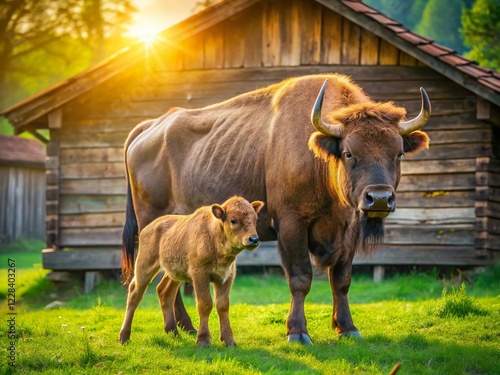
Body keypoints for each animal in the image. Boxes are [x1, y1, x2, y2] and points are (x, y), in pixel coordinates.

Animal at [119, 197, 264, 346]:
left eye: (255, 218)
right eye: (233, 220)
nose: (253, 239)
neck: (214, 234)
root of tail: (149, 227)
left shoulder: (227, 277)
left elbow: (223, 305)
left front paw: (229, 340)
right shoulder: (199, 275)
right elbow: (205, 304)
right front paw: (203, 340)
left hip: (174, 272)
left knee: (164, 291)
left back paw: (174, 333)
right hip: (145, 266)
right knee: (135, 293)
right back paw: (124, 337)